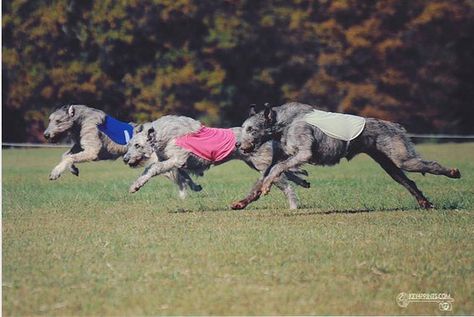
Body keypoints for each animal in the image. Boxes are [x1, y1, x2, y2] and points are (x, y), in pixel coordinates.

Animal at [42, 103, 202, 195]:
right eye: (49, 120)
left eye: (58, 121)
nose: (45, 135)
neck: (82, 119)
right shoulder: (80, 145)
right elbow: (66, 155)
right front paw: (72, 168)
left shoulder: (92, 150)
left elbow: (70, 156)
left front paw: (55, 173)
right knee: (180, 173)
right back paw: (195, 186)